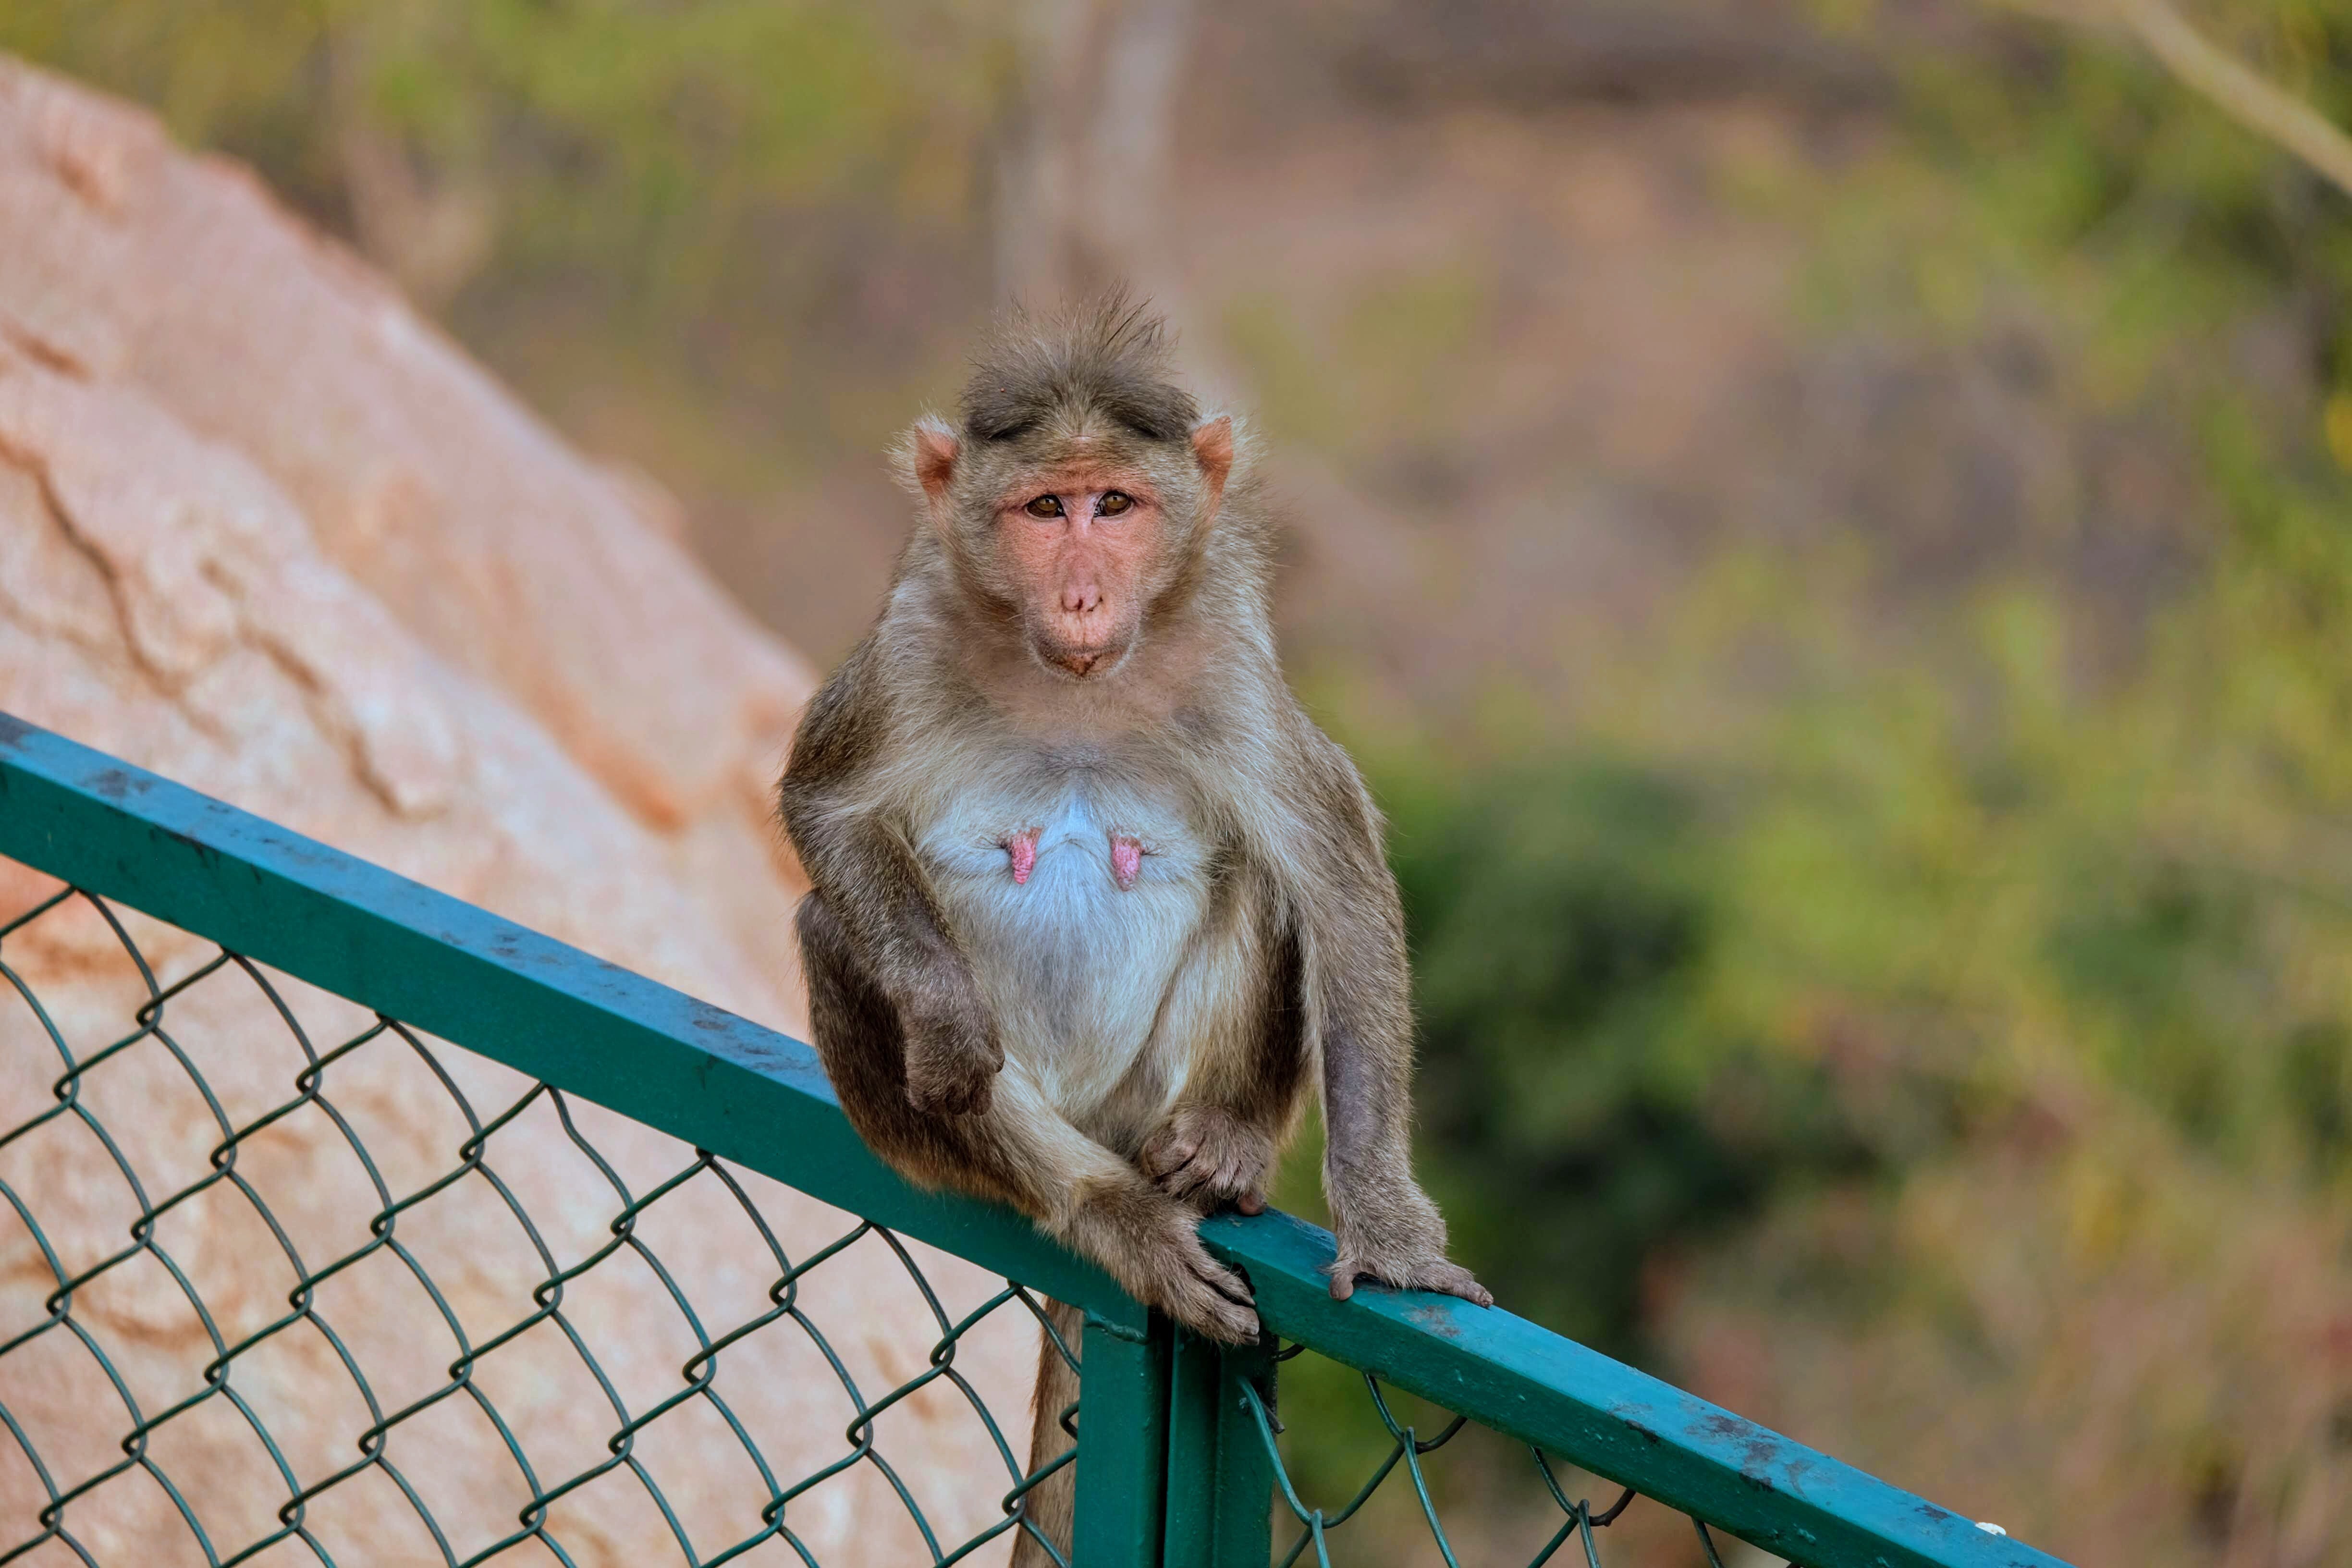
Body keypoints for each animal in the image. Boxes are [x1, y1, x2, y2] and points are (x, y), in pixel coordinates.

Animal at [776, 294, 1486, 1561]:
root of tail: (1102, 1126)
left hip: (1146, 1091)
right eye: (1042, 510)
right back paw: (1109, 1212)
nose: (1081, 595)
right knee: (833, 931)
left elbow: (1337, 874)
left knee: (1262, 872)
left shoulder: (1233, 661)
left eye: (1114, 506)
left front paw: (1389, 1231)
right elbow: (828, 810)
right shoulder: (908, 637)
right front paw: (947, 1021)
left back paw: (1224, 1140)